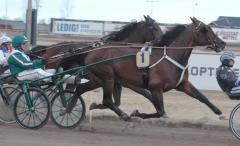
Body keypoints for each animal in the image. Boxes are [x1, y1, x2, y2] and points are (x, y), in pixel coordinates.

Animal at [79, 17, 227, 120]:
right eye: (205, 30)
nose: (222, 43)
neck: (172, 57)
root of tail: (91, 53)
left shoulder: (182, 84)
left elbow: (202, 97)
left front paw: (220, 113)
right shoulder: (155, 88)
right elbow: (160, 111)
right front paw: (137, 113)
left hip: (100, 80)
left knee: (80, 90)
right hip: (107, 78)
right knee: (107, 100)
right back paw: (124, 115)